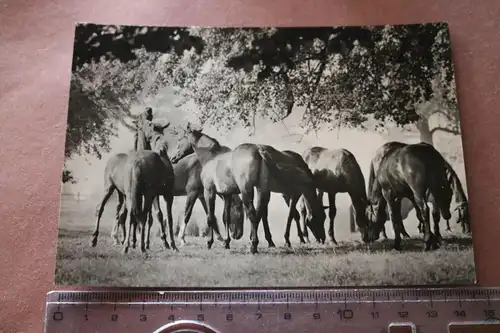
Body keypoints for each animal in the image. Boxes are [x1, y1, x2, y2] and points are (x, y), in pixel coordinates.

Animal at [172, 124, 328, 252]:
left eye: (180, 140)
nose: (173, 158)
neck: (212, 159)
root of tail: (258, 150)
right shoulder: (227, 195)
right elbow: (226, 218)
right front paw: (226, 242)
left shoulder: (209, 191)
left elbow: (210, 217)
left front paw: (210, 243)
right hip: (262, 190)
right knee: (259, 214)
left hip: (248, 191)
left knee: (254, 214)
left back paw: (254, 245)